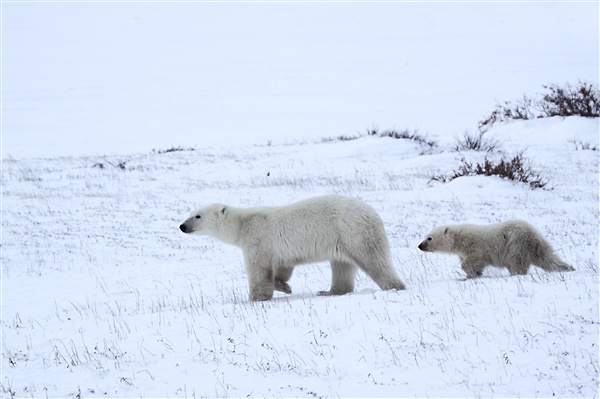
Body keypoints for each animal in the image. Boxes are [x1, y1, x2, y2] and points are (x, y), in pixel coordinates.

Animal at [178, 195, 404, 302]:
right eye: (190, 213)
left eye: (197, 215)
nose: (182, 226)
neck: (243, 224)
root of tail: (373, 214)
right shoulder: (279, 250)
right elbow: (283, 267)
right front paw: (284, 287)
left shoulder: (258, 239)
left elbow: (258, 270)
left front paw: (255, 298)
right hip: (341, 239)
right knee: (342, 266)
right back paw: (329, 291)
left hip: (353, 232)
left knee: (374, 260)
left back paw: (394, 286)